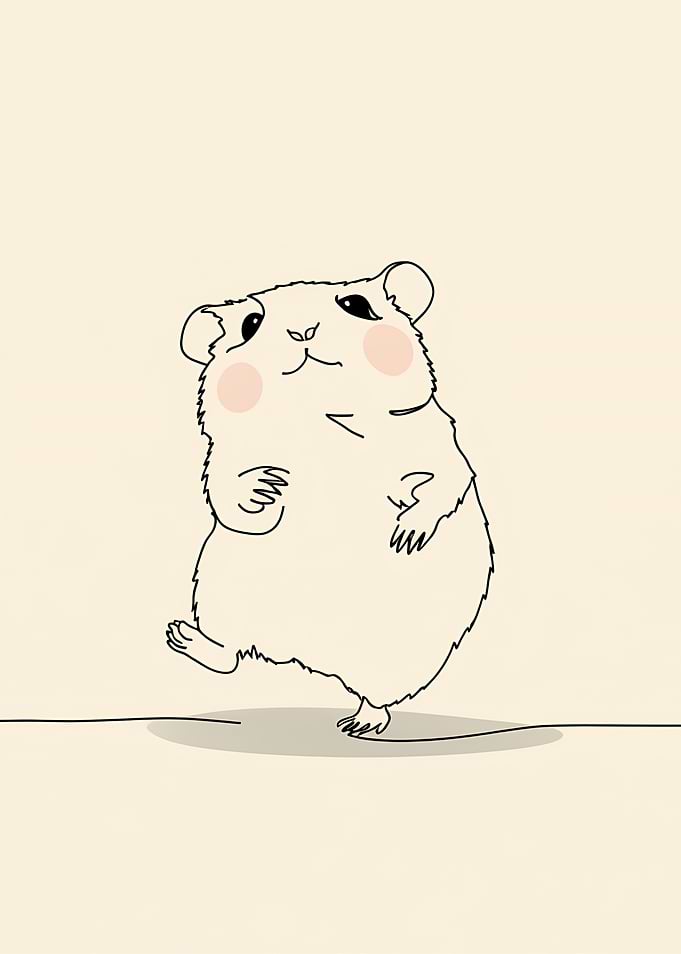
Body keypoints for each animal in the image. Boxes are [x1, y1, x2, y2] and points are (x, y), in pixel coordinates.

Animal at [167, 261, 494, 736]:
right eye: (250, 324)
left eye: (356, 305)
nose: (302, 331)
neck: (317, 417)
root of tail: (305, 657)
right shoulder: (225, 456)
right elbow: (227, 494)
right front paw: (267, 489)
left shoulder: (438, 443)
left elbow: (446, 480)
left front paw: (406, 536)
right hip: (220, 595)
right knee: (229, 654)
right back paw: (182, 636)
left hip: (395, 656)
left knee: (376, 698)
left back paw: (361, 725)